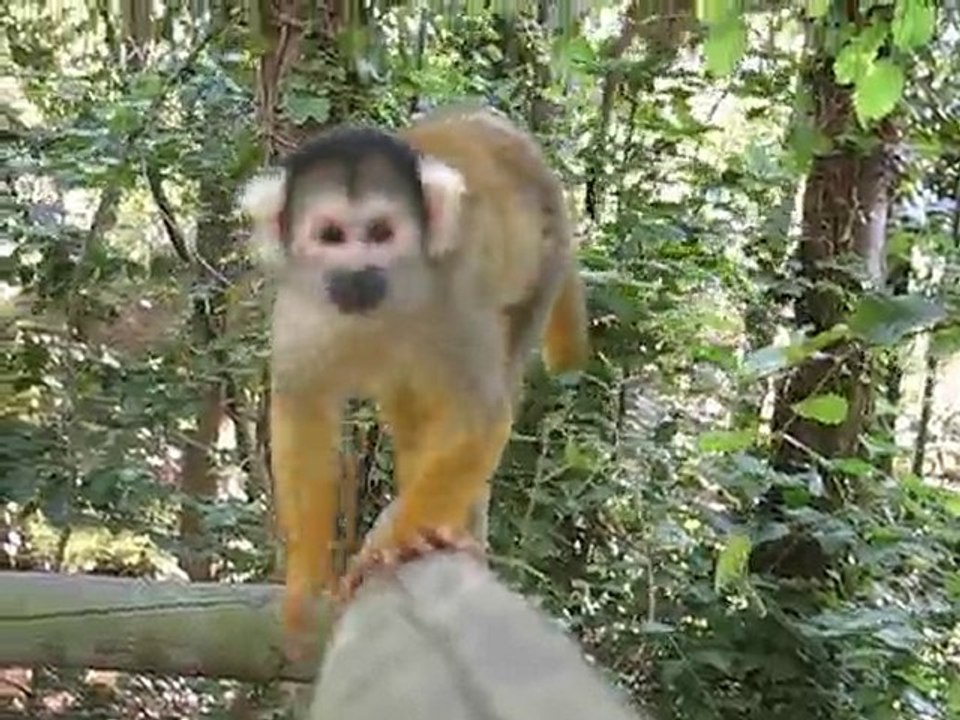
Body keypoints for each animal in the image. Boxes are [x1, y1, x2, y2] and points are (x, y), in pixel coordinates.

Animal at [239, 105, 590, 652]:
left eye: (381, 231)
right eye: (332, 236)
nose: (359, 272)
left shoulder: (457, 289)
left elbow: (481, 414)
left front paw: (392, 542)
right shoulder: (298, 306)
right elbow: (303, 410)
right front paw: (304, 578)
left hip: (545, 261)